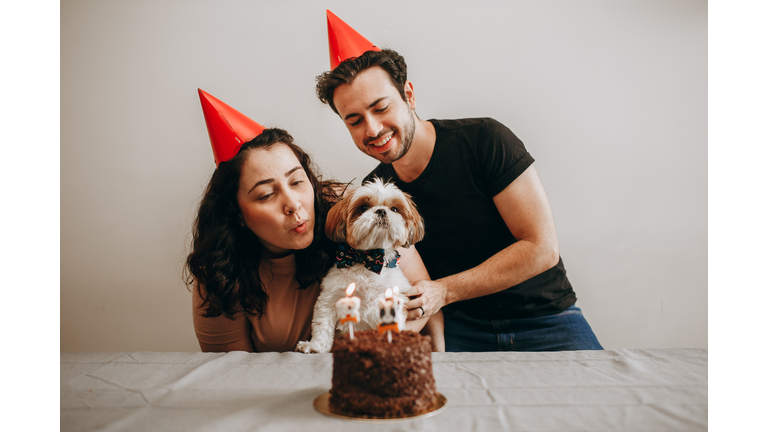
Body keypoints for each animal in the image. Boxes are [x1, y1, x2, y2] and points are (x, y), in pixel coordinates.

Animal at [296, 177, 426, 352]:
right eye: (363, 208)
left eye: (394, 209)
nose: (381, 211)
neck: (367, 261)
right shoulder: (330, 299)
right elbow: (322, 325)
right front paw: (315, 346)